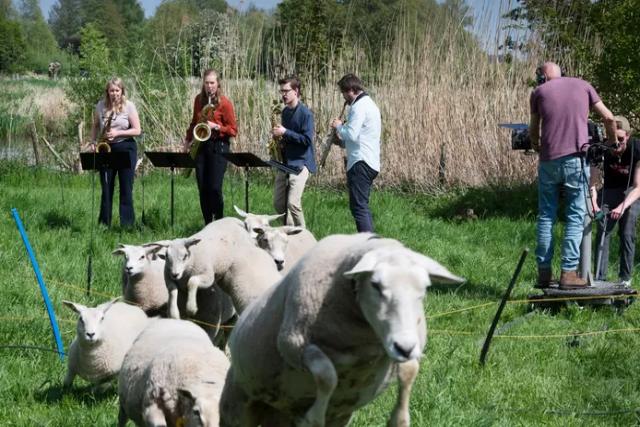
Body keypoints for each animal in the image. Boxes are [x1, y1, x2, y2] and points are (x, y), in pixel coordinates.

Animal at [150, 217, 282, 318]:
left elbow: (192, 282)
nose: (175, 274)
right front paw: (173, 314)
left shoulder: (207, 276)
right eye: (167, 256)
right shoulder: (169, 280)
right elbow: (172, 291)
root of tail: (234, 219)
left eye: (185, 256)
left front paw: (191, 308)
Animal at [218, 234, 462, 427]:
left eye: (426, 288)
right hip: (237, 404)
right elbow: (327, 375)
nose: (404, 347)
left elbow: (410, 370)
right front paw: (314, 417)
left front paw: (399, 419)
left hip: (318, 416)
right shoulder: (294, 345)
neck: (363, 339)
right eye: (375, 285)